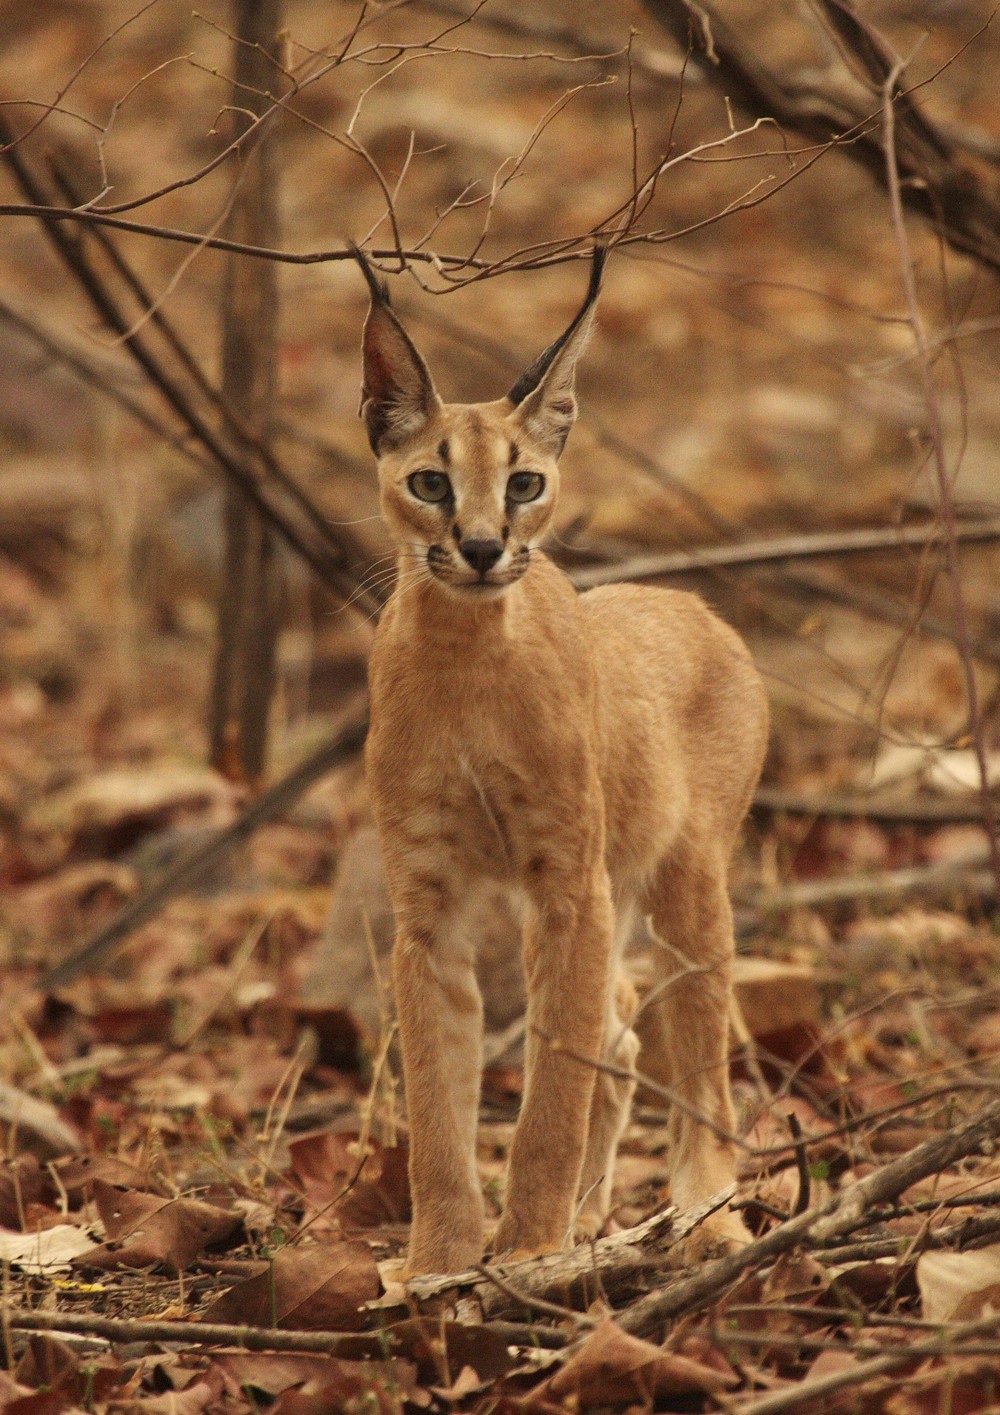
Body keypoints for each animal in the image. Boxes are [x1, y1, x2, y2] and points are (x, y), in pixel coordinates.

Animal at [356, 243, 769, 1273]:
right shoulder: (429, 903)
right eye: (430, 483)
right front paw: (439, 1263)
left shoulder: (567, 881)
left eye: (525, 484)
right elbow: (437, 1103)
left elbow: (552, 1087)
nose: (480, 547)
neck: (465, 649)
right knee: (618, 1036)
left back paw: (704, 1217)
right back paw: (593, 1223)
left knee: (699, 1064)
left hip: (686, 881)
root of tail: (690, 603)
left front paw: (526, 1249)